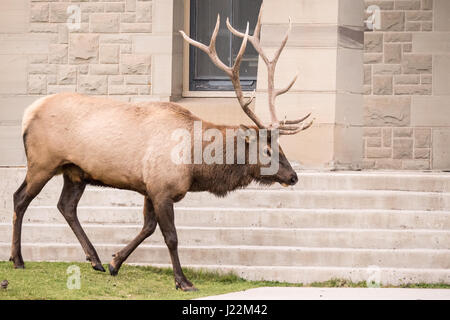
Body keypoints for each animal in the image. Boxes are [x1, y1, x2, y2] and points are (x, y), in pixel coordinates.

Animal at [11, 4, 312, 290]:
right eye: (268, 150)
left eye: (281, 147)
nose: (293, 176)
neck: (195, 166)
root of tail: (28, 112)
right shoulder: (162, 188)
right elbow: (170, 237)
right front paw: (183, 281)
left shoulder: (149, 188)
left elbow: (147, 228)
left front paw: (114, 262)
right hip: (42, 162)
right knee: (20, 198)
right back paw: (18, 259)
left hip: (75, 171)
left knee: (66, 206)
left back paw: (95, 259)